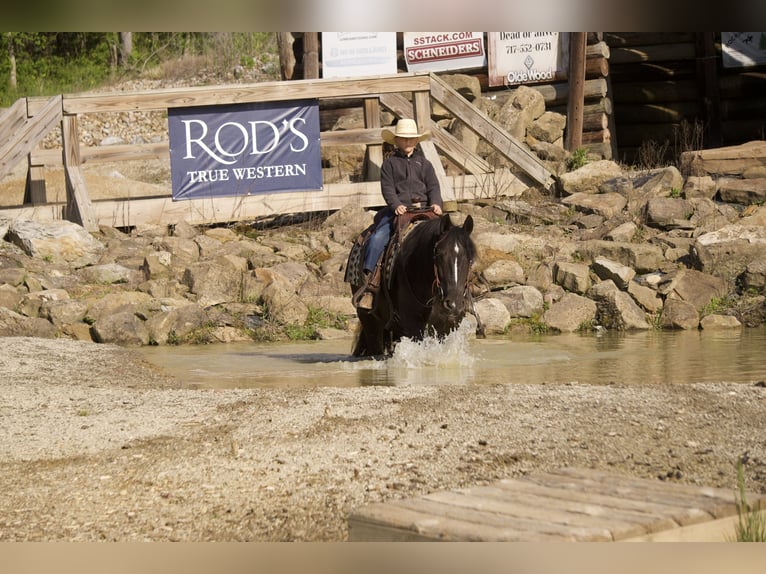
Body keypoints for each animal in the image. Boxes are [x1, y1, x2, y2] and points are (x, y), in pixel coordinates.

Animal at [348, 211, 482, 357]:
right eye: (439, 254)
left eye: (470, 258)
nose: (453, 304)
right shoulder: (412, 323)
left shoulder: (448, 325)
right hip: (369, 319)